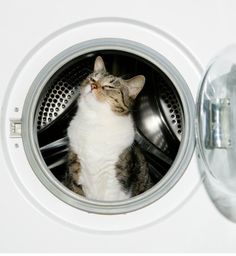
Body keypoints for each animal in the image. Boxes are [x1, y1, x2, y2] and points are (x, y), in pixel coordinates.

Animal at [64, 56, 153, 202]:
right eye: (92, 79)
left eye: (109, 86)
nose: (93, 85)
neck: (95, 121)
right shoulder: (75, 165)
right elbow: (77, 189)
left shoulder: (116, 176)